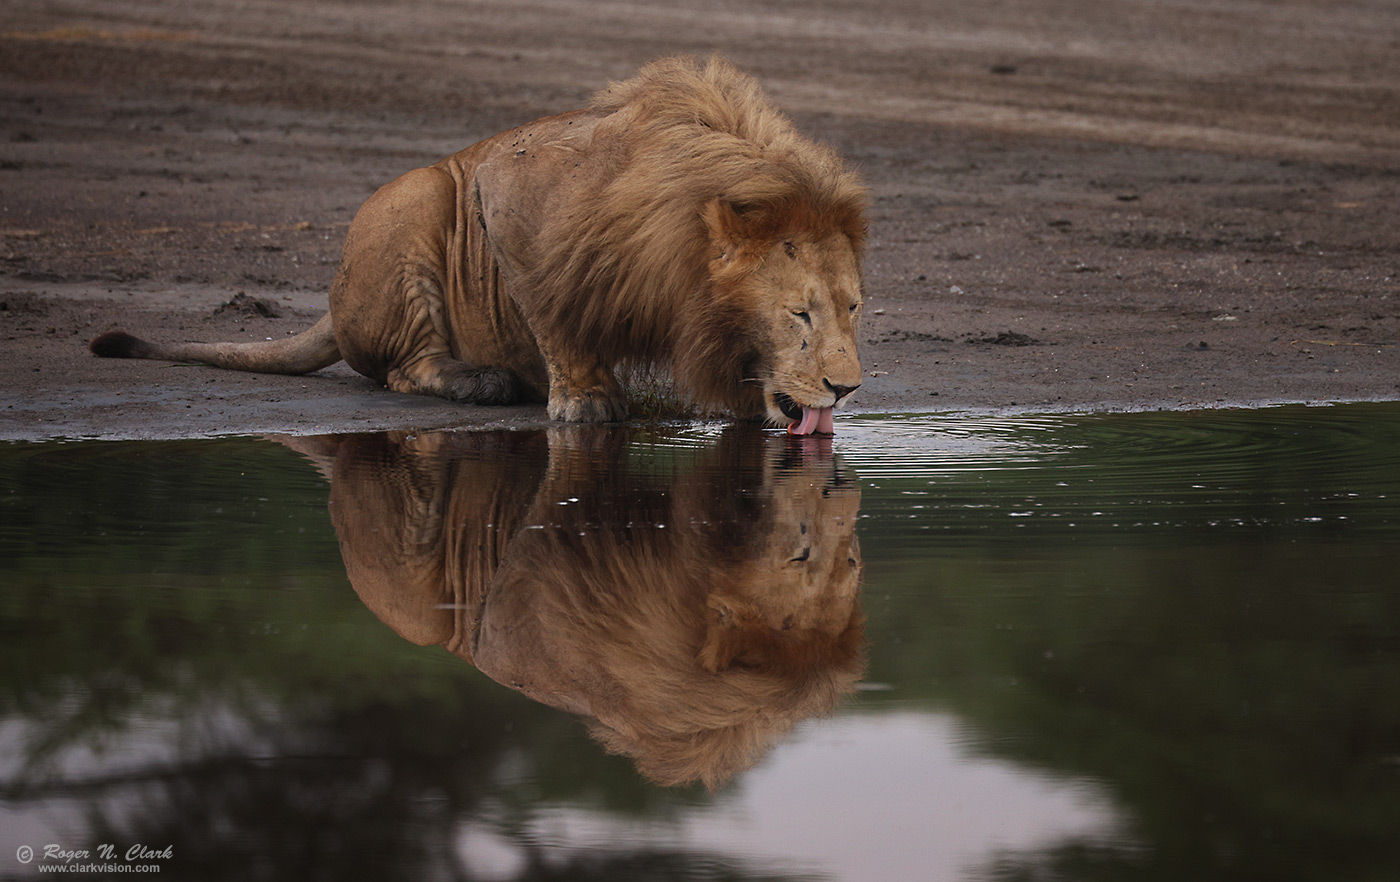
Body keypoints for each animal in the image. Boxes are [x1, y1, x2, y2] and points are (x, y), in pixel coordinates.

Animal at [90, 55, 862, 436]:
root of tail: (332, 299)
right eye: (799, 313)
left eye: (854, 308)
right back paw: (483, 381)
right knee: (401, 369)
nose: (848, 388)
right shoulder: (506, 191)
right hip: (419, 199)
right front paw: (586, 400)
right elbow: (554, 317)